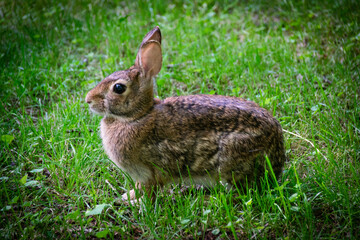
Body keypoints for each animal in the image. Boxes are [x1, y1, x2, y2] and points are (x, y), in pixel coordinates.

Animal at [86, 26, 286, 202]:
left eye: (118, 88)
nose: (88, 99)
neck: (137, 116)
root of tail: (277, 156)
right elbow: (138, 188)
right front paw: (127, 197)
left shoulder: (151, 172)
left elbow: (150, 191)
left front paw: (138, 204)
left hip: (231, 161)